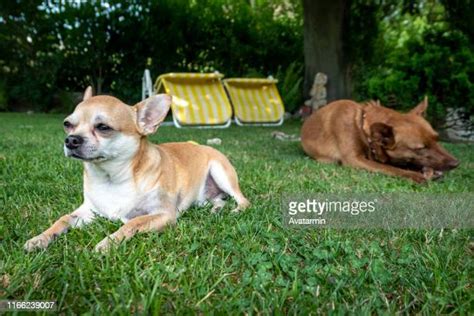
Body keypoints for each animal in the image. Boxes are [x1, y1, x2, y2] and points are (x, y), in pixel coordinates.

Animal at [300, 99, 460, 183]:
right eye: (421, 148)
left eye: (437, 139)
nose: (456, 164)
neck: (361, 125)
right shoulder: (354, 159)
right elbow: (389, 168)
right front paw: (415, 175)